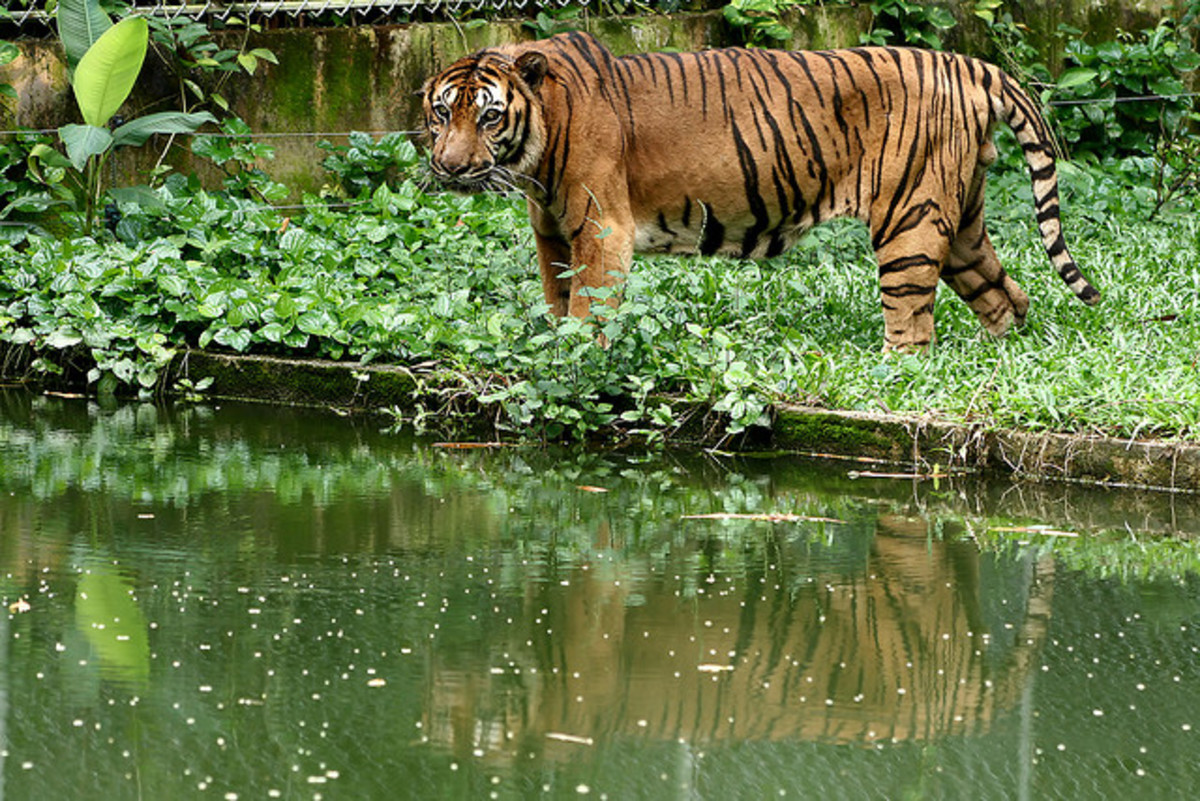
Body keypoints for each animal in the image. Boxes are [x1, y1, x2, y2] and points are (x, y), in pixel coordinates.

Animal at [420, 31, 1100, 351]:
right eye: (441, 113)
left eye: (488, 116)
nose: (448, 167)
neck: (537, 145)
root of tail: (968, 62)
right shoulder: (552, 232)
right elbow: (556, 301)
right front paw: (550, 352)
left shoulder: (600, 227)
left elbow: (588, 308)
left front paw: (578, 361)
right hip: (958, 218)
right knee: (1005, 294)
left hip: (910, 215)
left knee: (913, 324)